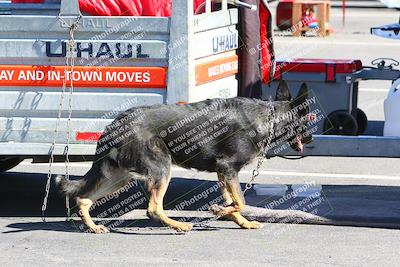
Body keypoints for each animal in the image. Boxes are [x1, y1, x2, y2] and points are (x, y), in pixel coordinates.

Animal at [57, 80, 312, 233]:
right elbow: (239, 201)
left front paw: (241, 222)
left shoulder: (223, 173)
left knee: (83, 199)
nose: (310, 140)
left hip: (119, 176)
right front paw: (218, 211)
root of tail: (117, 122)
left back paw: (93, 226)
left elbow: (234, 203)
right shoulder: (228, 168)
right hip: (160, 169)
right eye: (308, 120)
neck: (271, 118)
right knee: (153, 209)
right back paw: (179, 226)